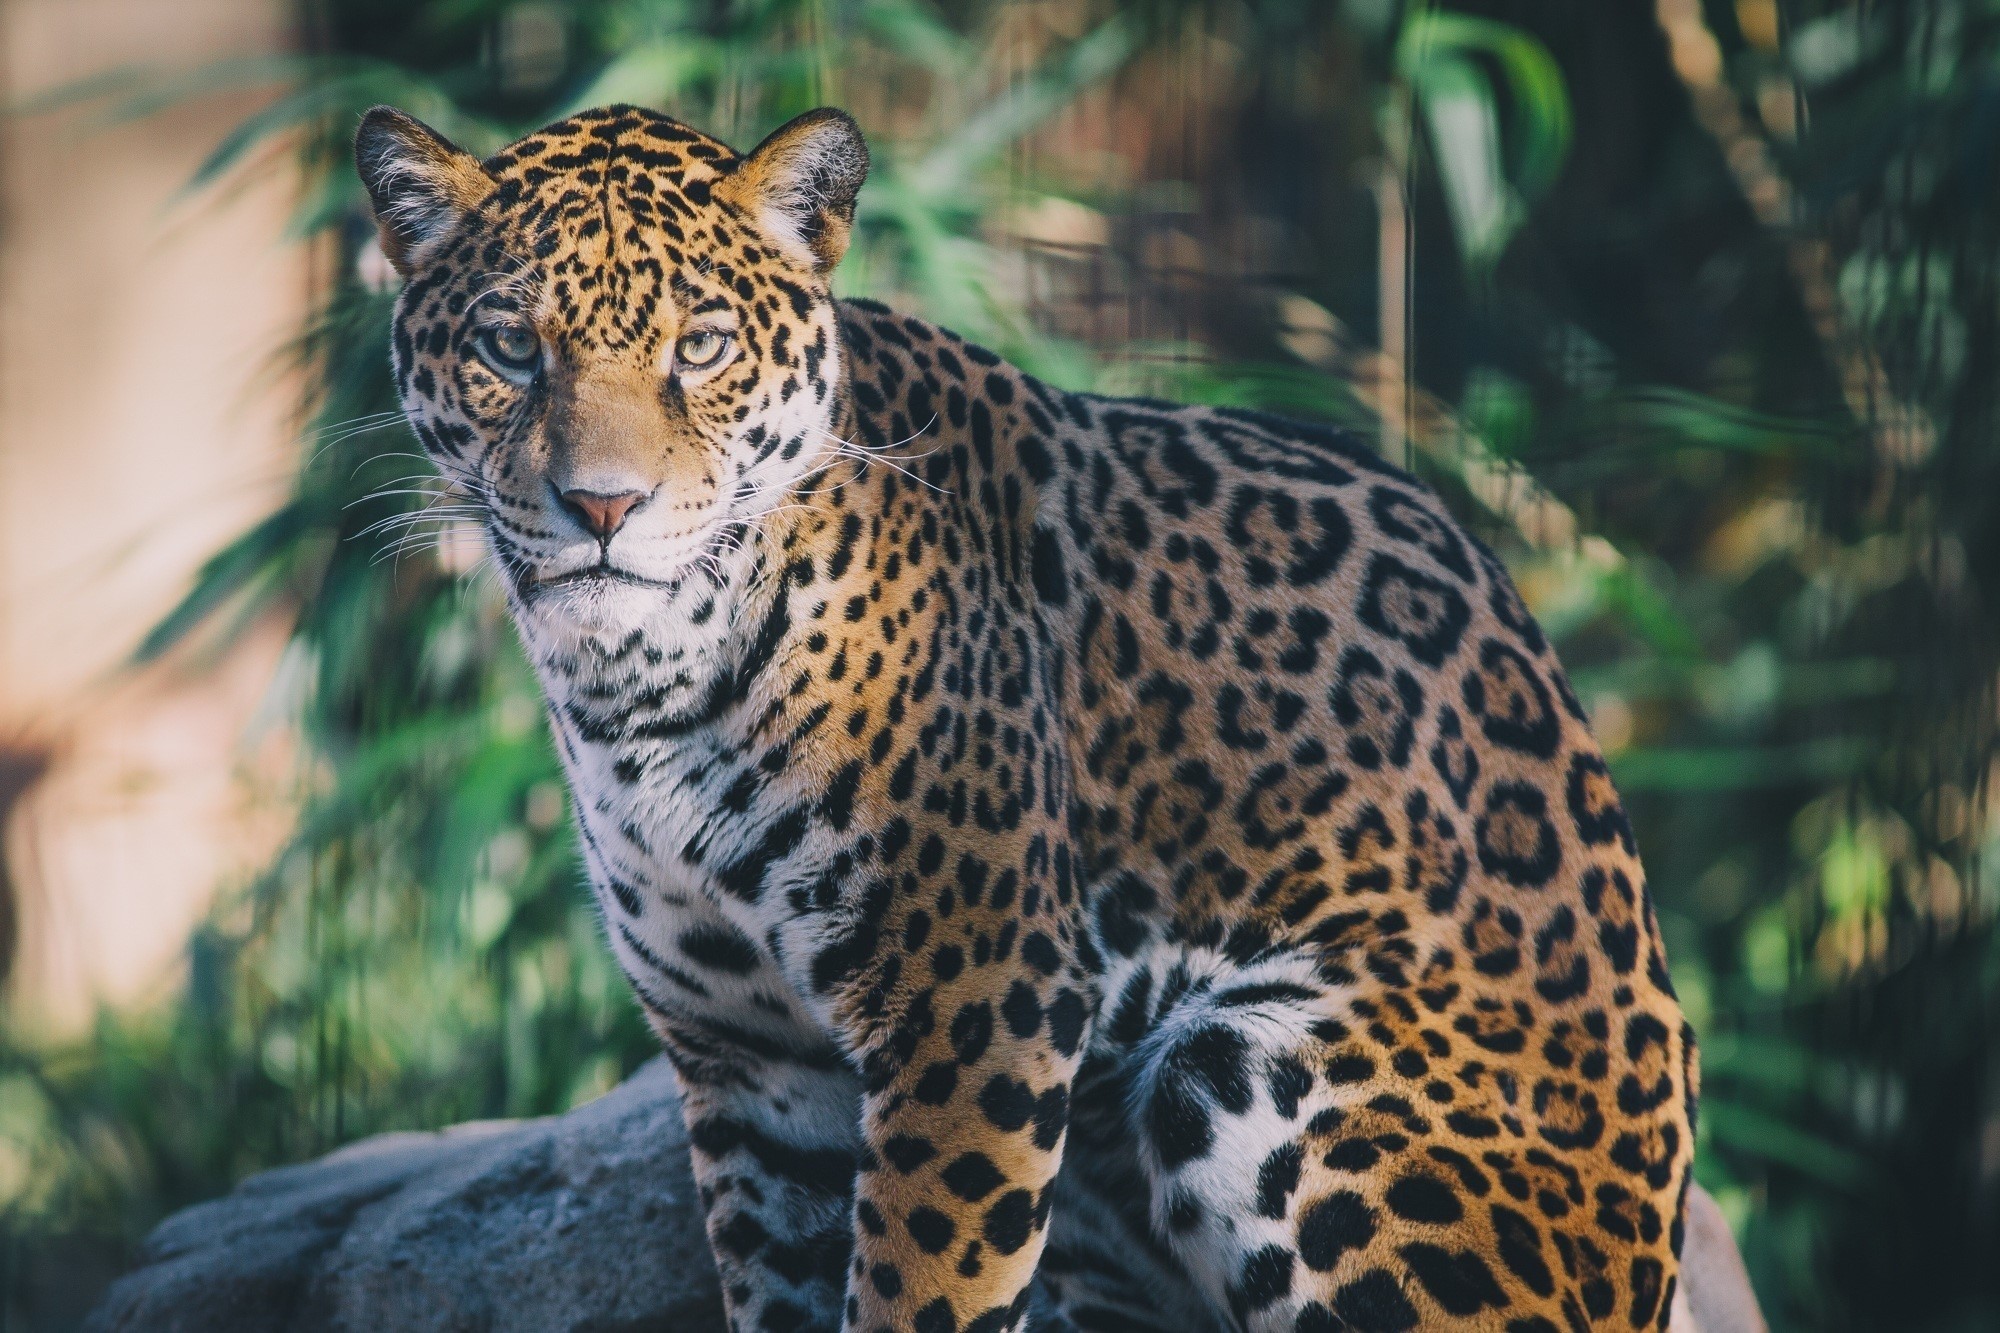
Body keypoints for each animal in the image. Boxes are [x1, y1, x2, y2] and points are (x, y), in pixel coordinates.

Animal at [355, 101, 1699, 1333]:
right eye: (509, 347)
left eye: (700, 345)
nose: (601, 507)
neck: (646, 684)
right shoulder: (747, 1059)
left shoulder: (975, 1003)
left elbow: (918, 1288)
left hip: (1263, 1062)